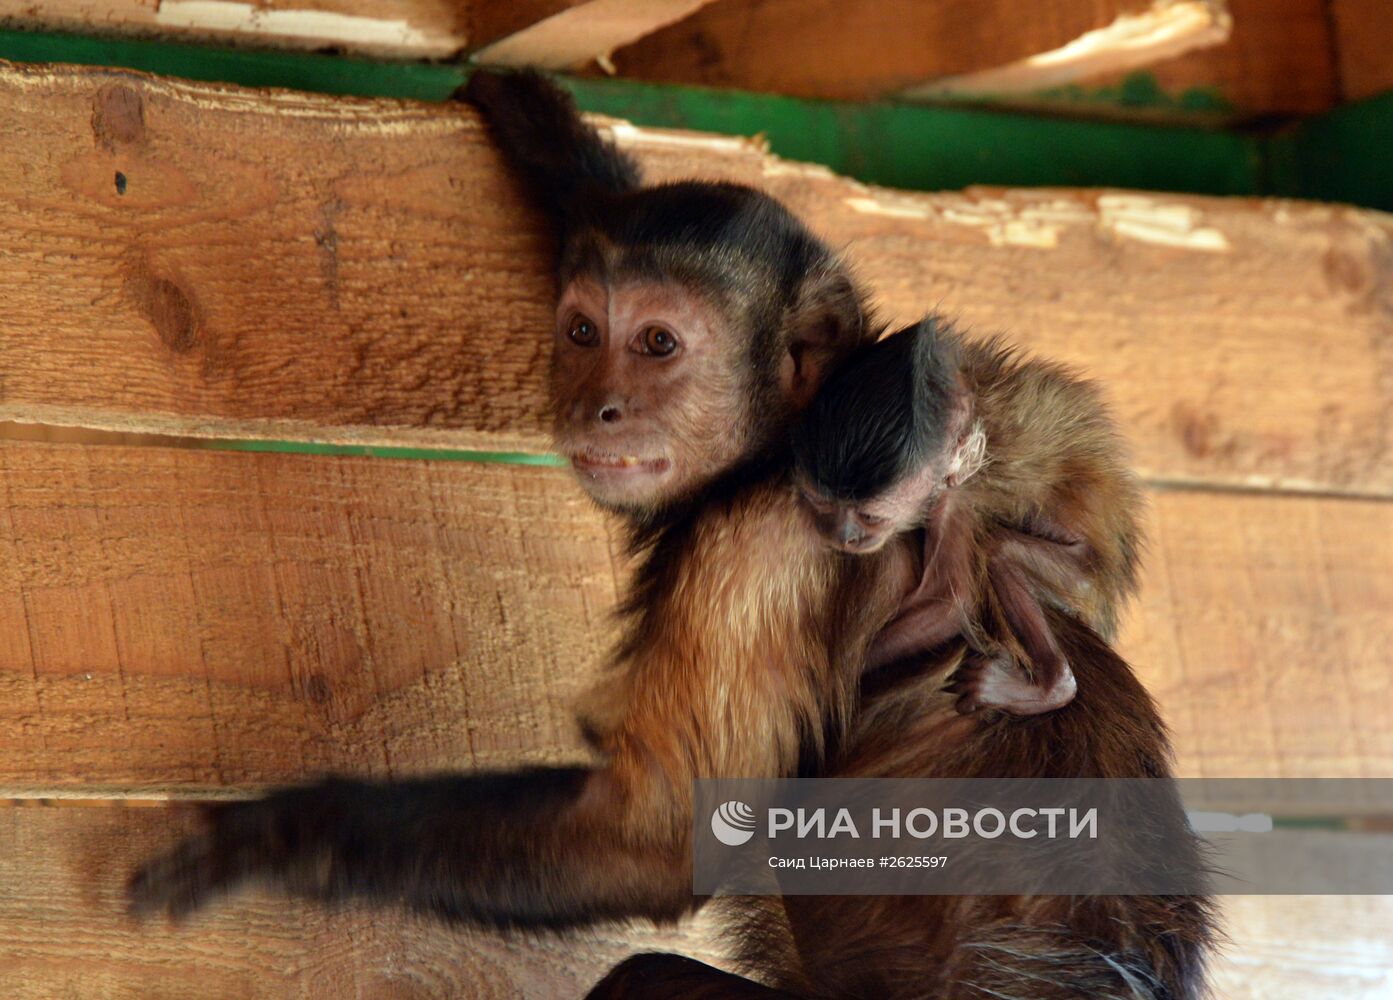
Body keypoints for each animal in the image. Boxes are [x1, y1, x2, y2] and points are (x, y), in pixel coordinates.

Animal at [796, 317, 1142, 718]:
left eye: (869, 517)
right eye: (823, 506)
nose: (845, 536)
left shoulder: (957, 500)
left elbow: (950, 600)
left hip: (1084, 579)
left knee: (1000, 550)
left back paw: (1052, 685)